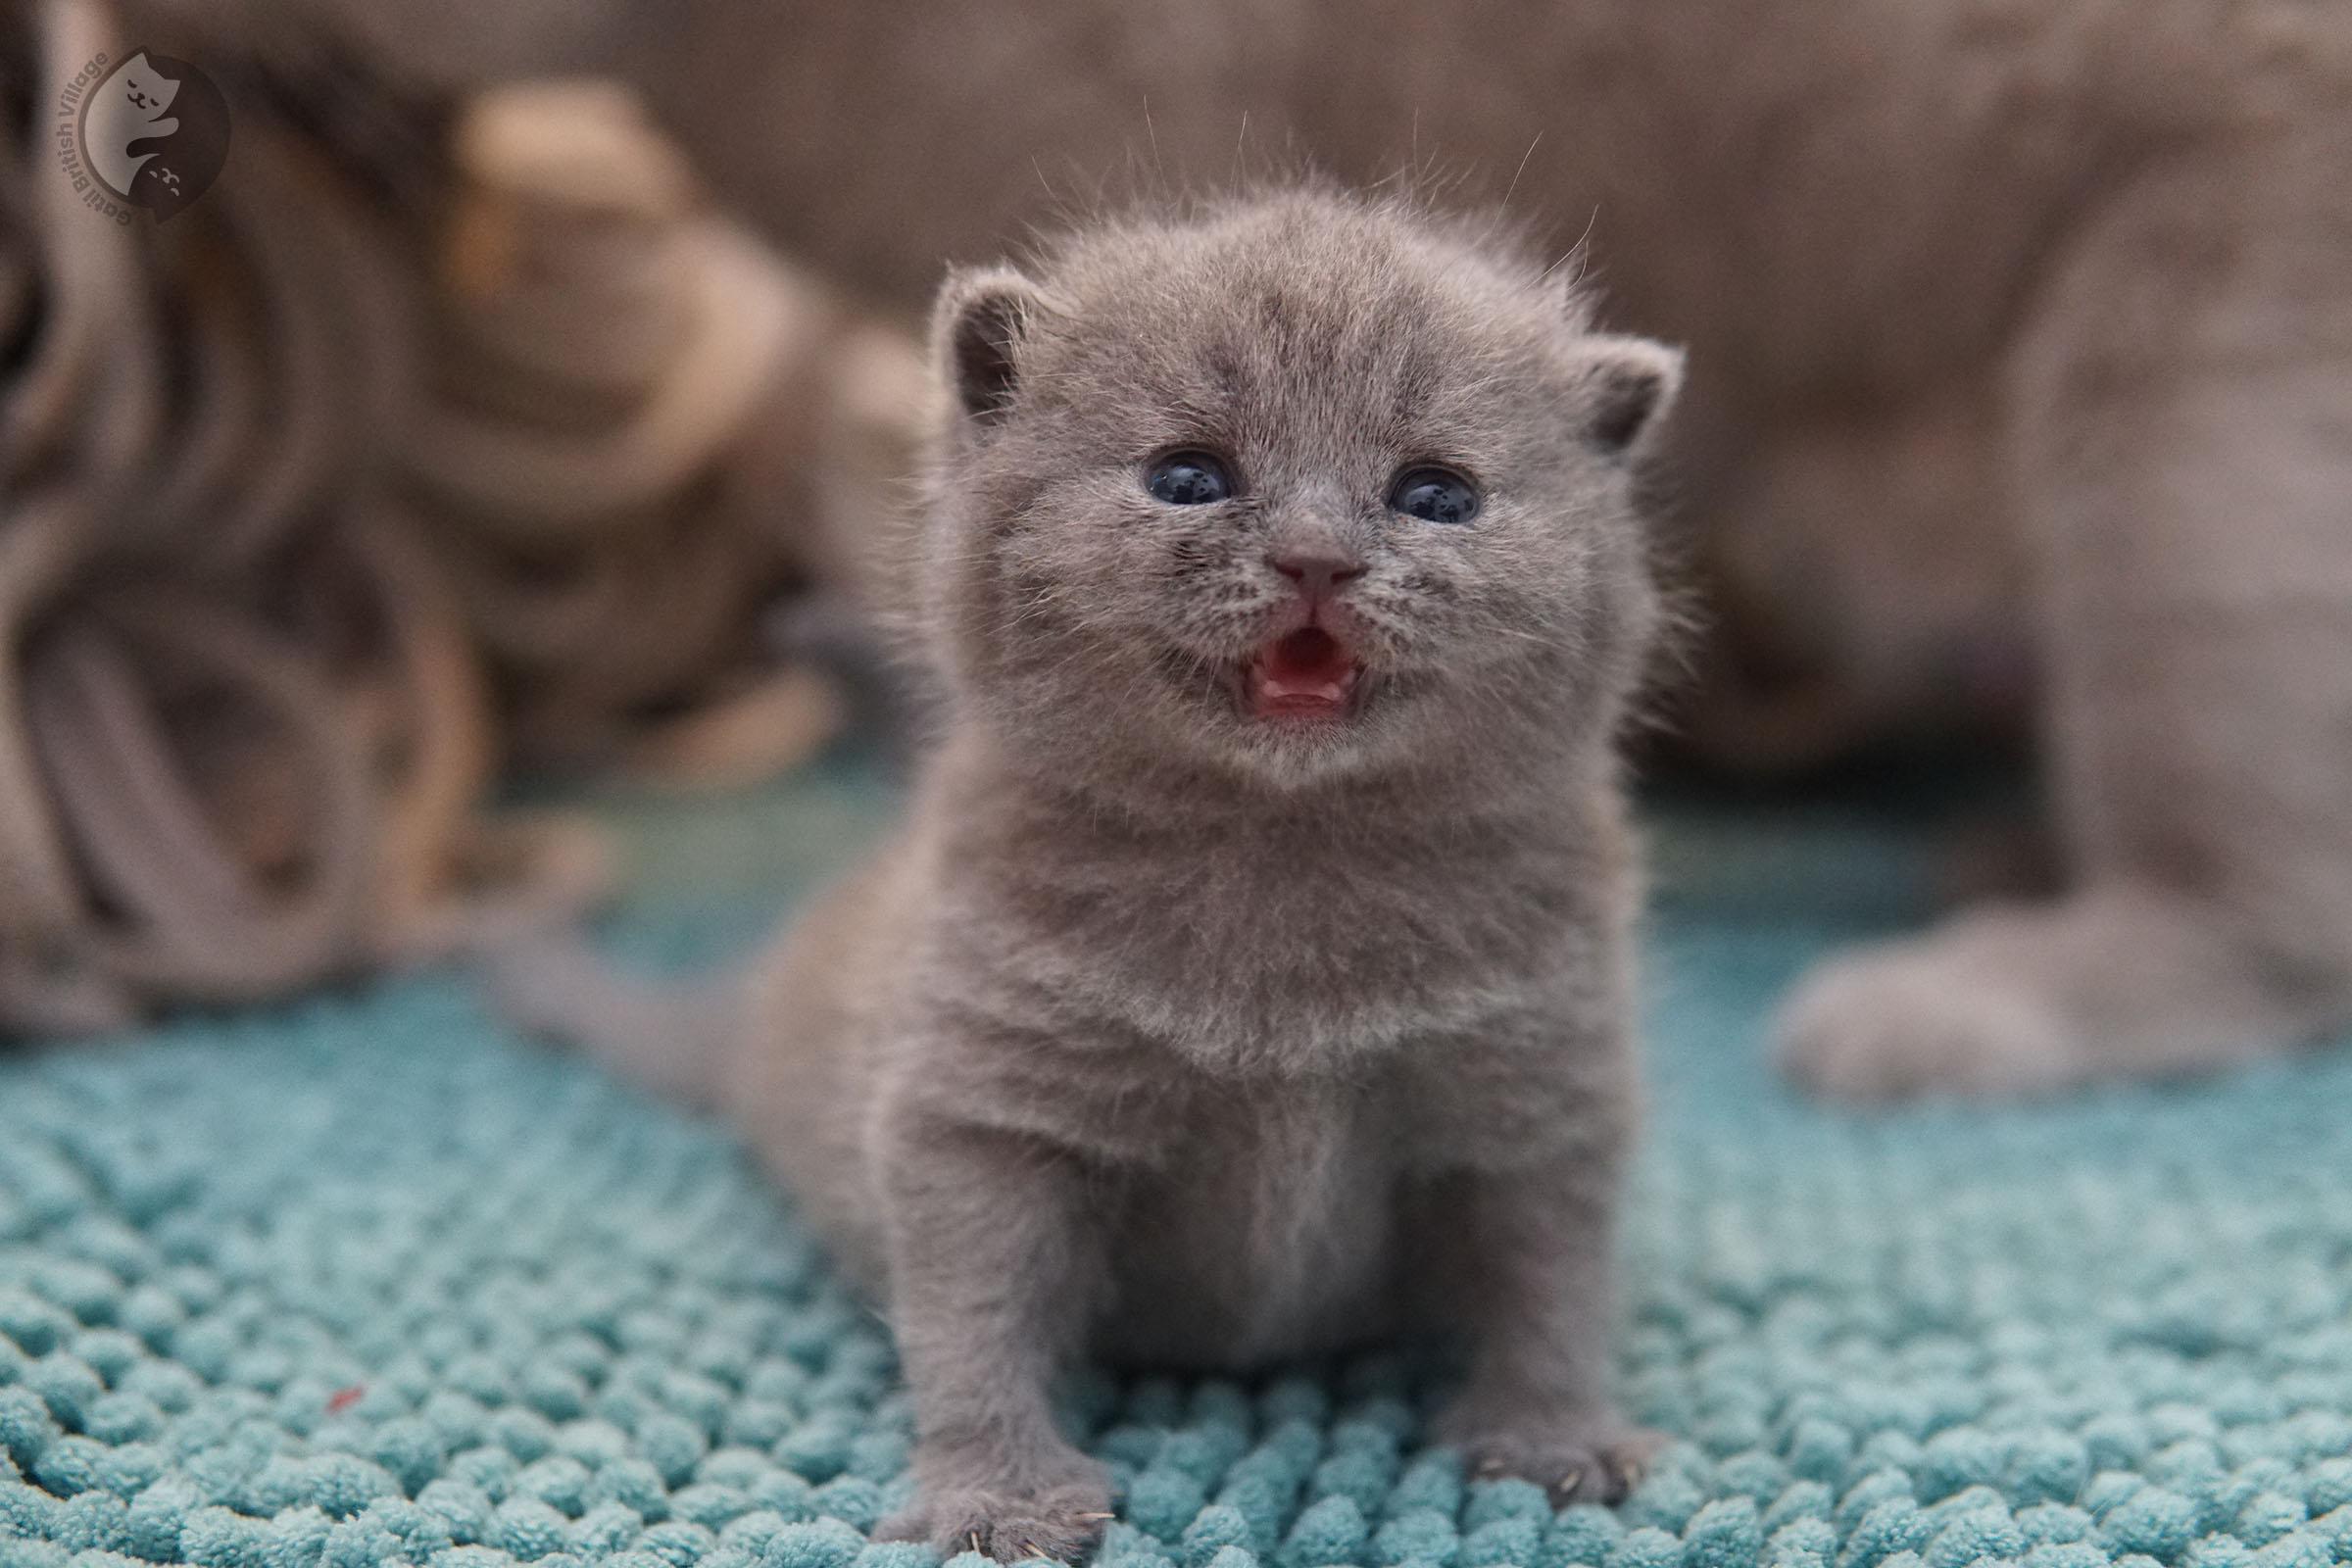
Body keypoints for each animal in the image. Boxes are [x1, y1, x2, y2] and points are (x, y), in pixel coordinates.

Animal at [529, 190, 1674, 1560]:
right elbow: (974, 1311)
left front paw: (1551, 1440)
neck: (1282, 857)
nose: (1316, 555)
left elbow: (1552, 1275)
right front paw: (999, 1494)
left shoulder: (1537, 1085)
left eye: (1437, 495)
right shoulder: (986, 1105)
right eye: (1189, 478)